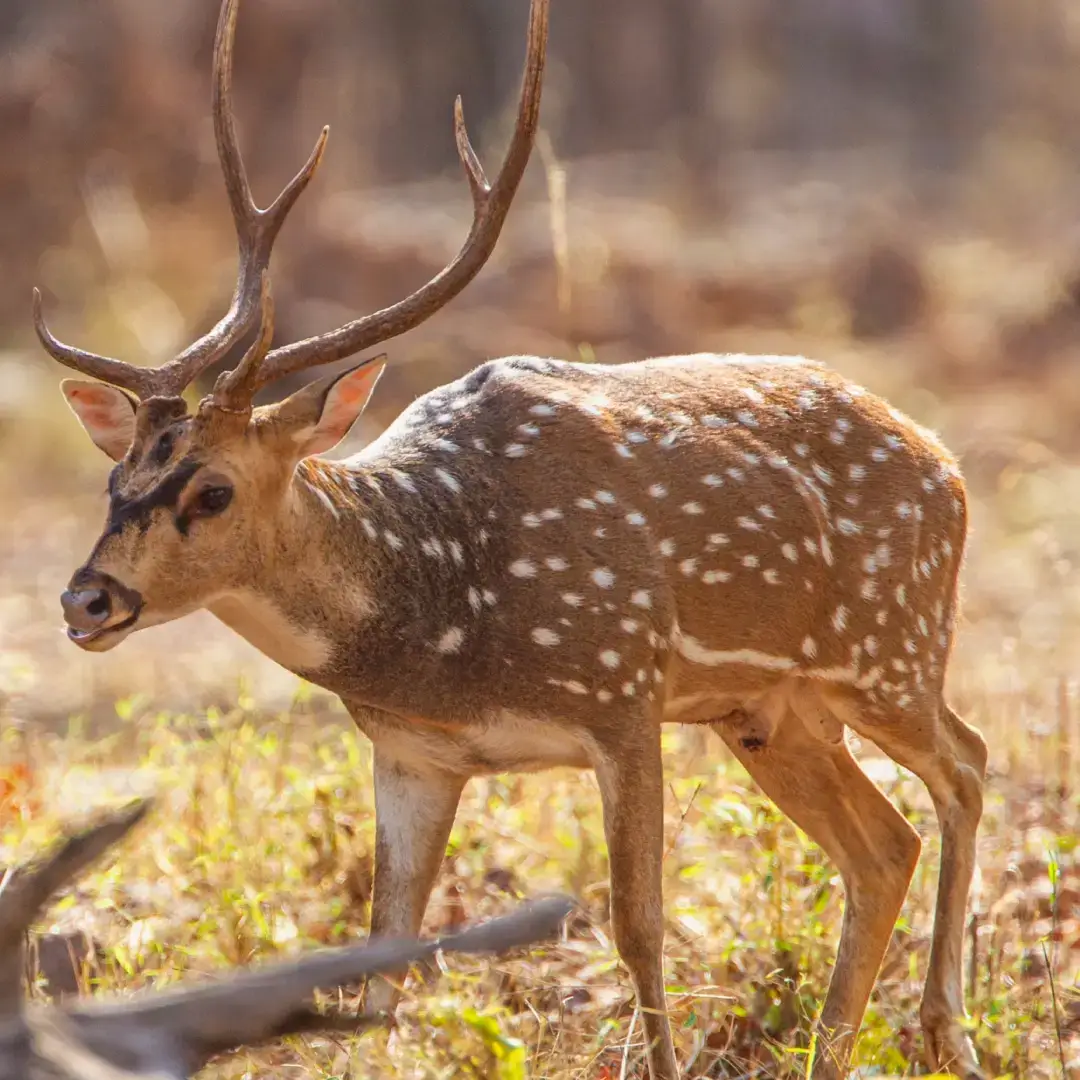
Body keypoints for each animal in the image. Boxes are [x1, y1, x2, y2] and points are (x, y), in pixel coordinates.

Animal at [35, 2, 989, 1080]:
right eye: (116, 480)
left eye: (214, 489)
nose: (86, 599)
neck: (448, 626)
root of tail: (947, 463)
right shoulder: (412, 754)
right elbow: (384, 951)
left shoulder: (623, 690)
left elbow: (637, 925)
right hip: (769, 712)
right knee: (884, 844)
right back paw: (841, 1048)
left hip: (889, 648)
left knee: (965, 766)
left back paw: (948, 1029)